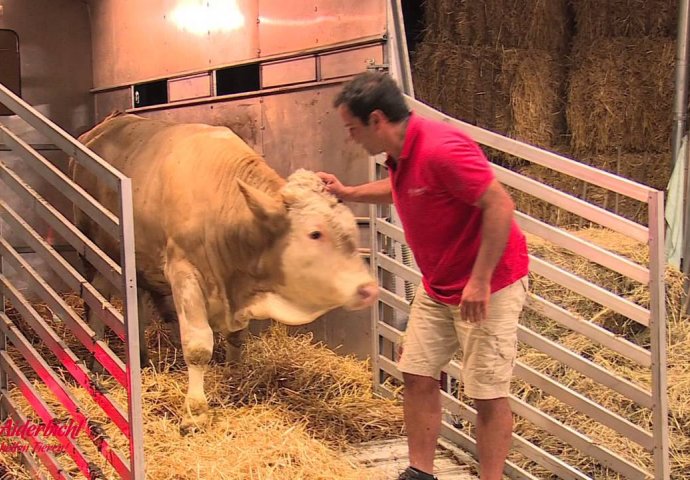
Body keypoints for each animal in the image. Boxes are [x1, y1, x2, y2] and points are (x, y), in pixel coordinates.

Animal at [70, 112, 376, 432]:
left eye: (352, 228)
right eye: (315, 234)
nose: (368, 288)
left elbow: (236, 336)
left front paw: (235, 378)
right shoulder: (184, 271)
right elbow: (198, 345)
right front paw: (195, 412)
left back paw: (140, 358)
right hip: (92, 253)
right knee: (94, 305)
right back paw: (97, 364)